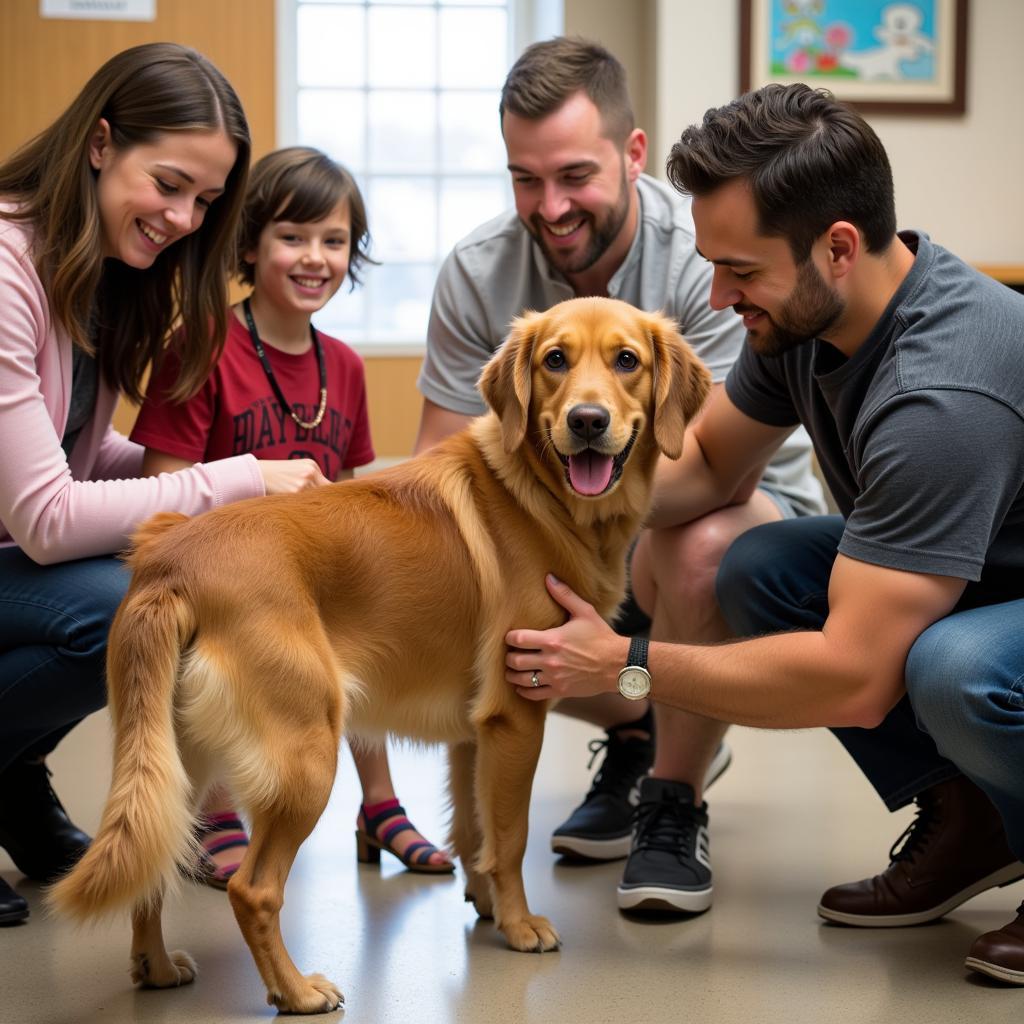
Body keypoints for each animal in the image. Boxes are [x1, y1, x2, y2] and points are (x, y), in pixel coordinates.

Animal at [46, 296, 704, 1015]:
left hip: (176, 763)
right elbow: (509, 836)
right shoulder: (516, 714)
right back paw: (296, 992)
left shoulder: (474, 733)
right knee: (254, 890)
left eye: (627, 361)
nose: (588, 421)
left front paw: (485, 905)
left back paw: (158, 969)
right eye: (555, 359)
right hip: (305, 757)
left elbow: (473, 829)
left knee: (155, 858)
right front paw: (520, 924)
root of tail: (169, 562)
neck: (541, 494)